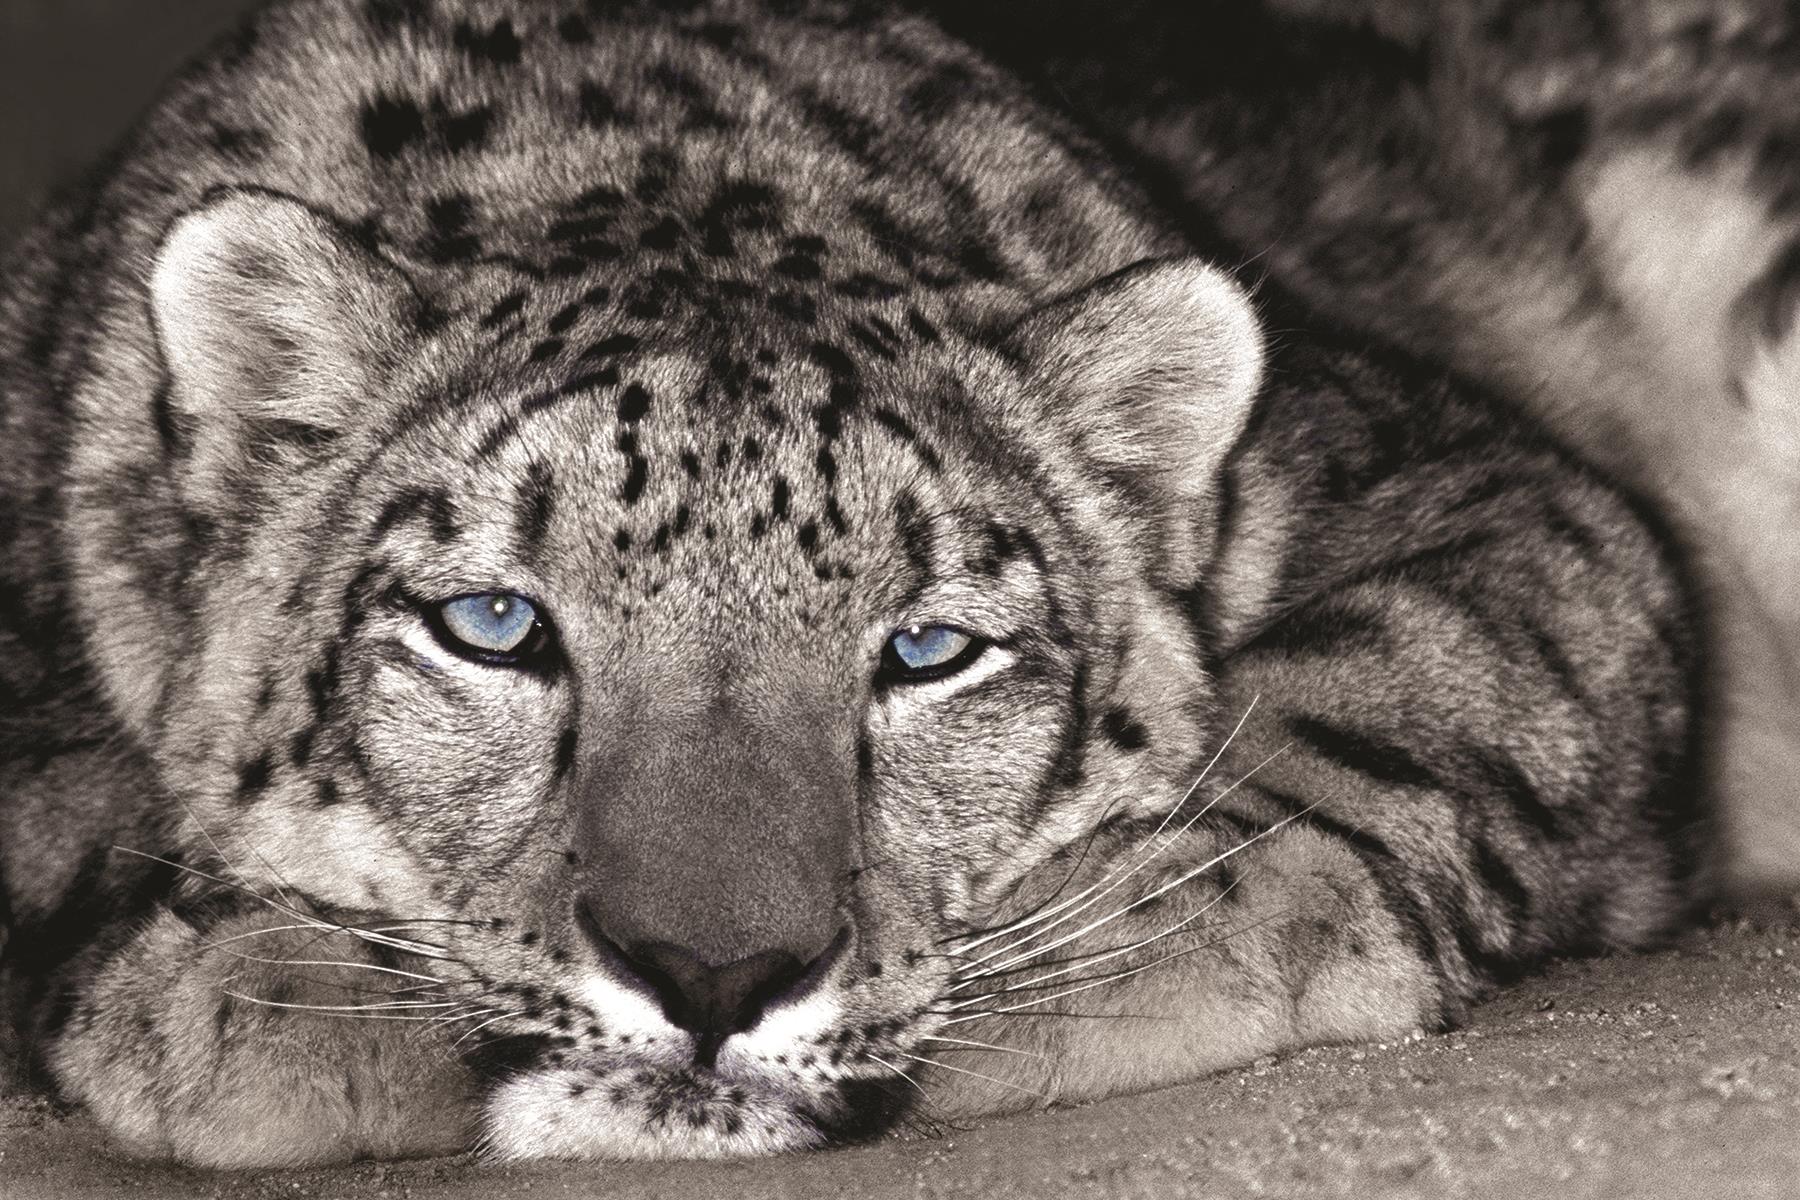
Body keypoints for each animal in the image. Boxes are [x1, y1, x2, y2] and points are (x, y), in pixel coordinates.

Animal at [0, 0, 1698, 1167]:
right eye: (493, 623)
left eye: (930, 648)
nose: (714, 973)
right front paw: (253, 977)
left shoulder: (1476, 477)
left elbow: (1413, 667)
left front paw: (1157, 917)